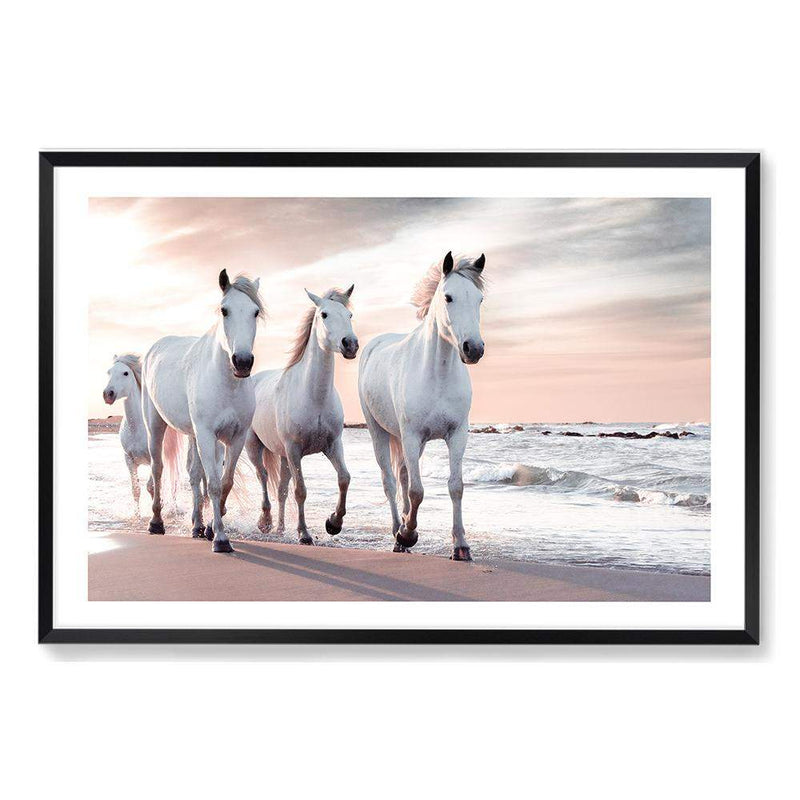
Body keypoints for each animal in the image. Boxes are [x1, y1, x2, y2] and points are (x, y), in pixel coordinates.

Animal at [101, 354, 152, 516]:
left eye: (126, 373)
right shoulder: (129, 459)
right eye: (109, 372)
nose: (108, 394)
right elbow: (135, 490)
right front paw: (137, 516)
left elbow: (152, 487)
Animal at [138, 268, 262, 552]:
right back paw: (156, 522)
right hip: (156, 425)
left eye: (255, 312)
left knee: (194, 475)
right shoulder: (206, 434)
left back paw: (196, 525)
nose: (242, 362)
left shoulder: (234, 437)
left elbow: (224, 482)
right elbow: (214, 484)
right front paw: (221, 539)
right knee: (158, 468)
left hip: (193, 435)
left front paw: (211, 527)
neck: (227, 383)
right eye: (225, 310)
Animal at [244, 286, 356, 544]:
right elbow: (301, 491)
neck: (314, 396)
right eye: (324, 314)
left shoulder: (333, 445)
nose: (350, 344)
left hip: (283, 456)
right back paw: (265, 522)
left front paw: (333, 523)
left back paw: (280, 528)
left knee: (281, 489)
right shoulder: (294, 450)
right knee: (263, 476)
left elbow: (344, 478)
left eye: (349, 315)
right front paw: (304, 534)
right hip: (255, 447)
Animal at [358, 253, 484, 560]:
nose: (473, 349)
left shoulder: (457, 435)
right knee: (390, 481)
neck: (437, 374)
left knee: (403, 475)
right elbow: (417, 491)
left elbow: (455, 487)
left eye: (479, 299)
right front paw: (408, 533)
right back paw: (398, 533)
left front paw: (461, 545)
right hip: (379, 433)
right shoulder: (412, 436)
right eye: (448, 297)